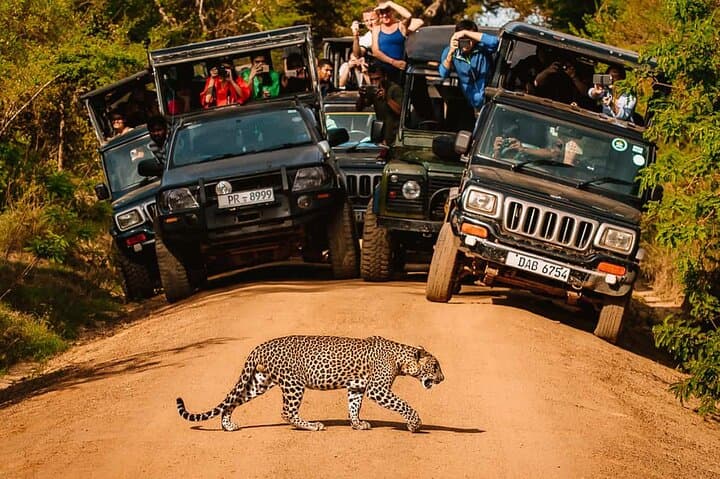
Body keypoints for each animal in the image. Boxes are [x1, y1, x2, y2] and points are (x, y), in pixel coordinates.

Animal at [176, 335, 444, 432]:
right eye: (435, 366)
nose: (443, 379)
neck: (401, 359)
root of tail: (260, 346)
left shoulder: (356, 387)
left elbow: (353, 406)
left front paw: (357, 424)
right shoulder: (377, 389)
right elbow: (403, 405)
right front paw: (414, 424)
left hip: (260, 381)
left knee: (233, 401)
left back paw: (228, 425)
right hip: (293, 384)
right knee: (287, 412)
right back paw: (312, 426)